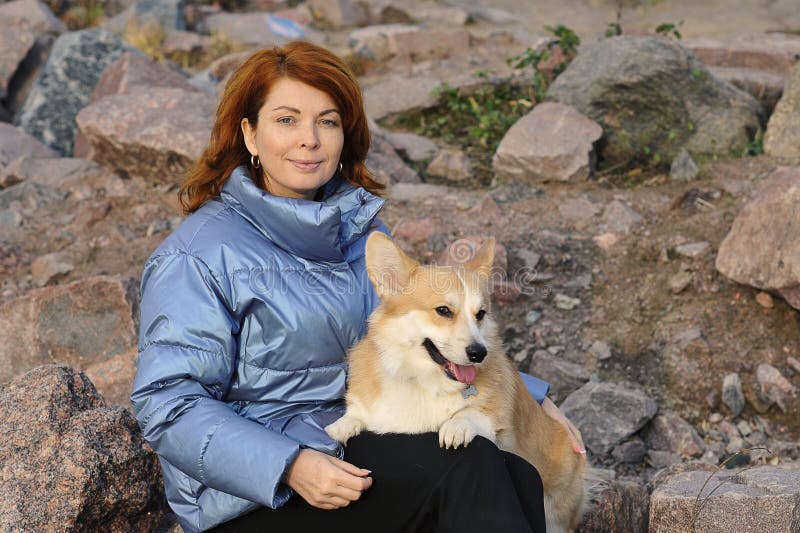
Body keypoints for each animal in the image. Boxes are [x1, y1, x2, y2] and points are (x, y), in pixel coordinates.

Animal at [326, 233, 588, 532]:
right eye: (443, 310)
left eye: (481, 314)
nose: (479, 353)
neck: (423, 379)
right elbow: (356, 414)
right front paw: (338, 427)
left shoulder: (499, 424)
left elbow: (474, 413)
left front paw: (455, 427)